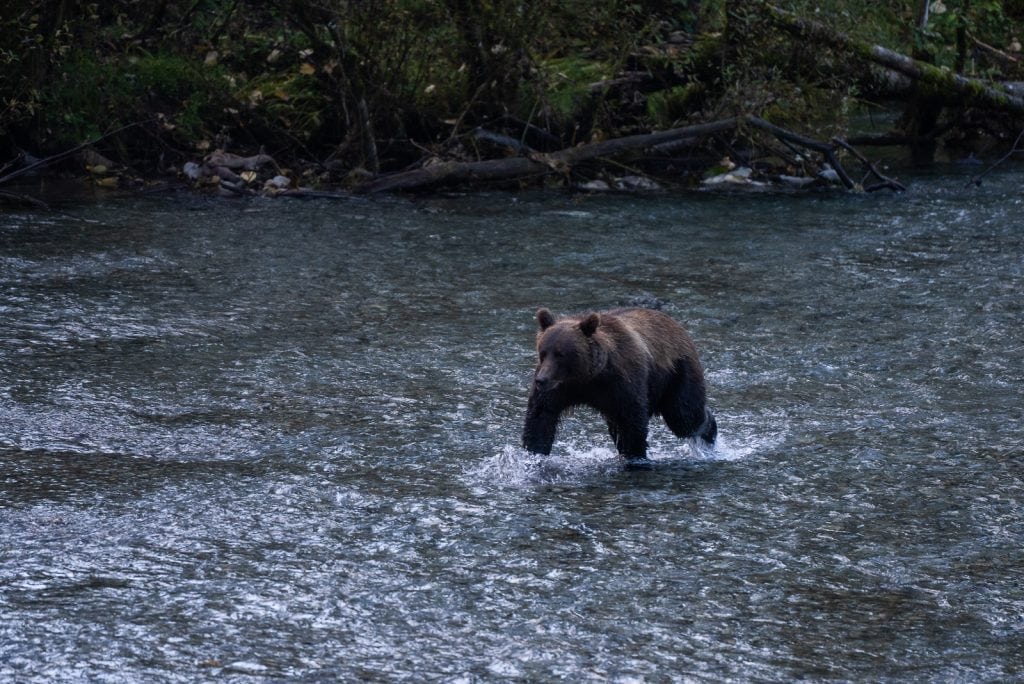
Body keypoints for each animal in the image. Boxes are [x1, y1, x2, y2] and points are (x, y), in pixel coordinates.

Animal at [522, 307, 716, 460]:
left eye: (560, 354)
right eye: (543, 352)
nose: (541, 380)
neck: (589, 376)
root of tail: (678, 326)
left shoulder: (623, 382)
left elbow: (632, 422)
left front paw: (635, 456)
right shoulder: (562, 388)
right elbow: (541, 416)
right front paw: (534, 453)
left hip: (677, 371)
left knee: (684, 416)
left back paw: (709, 432)